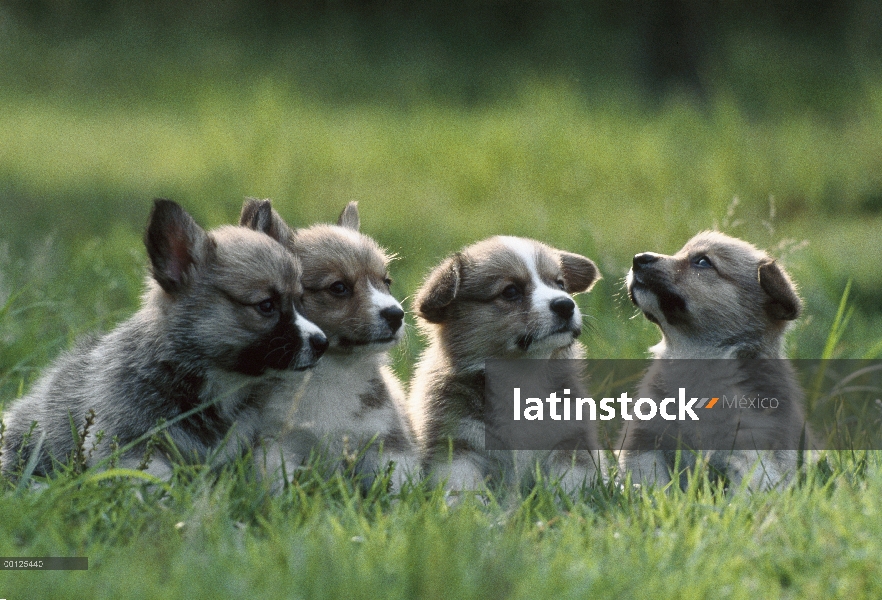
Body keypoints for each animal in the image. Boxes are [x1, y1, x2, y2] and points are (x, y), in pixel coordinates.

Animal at [237, 199, 416, 490]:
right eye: (338, 287)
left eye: (386, 282)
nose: (397, 315)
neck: (331, 372)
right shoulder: (276, 443)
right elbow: (277, 482)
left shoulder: (387, 442)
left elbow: (395, 487)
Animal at [408, 237, 600, 494]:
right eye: (511, 291)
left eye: (560, 284)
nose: (565, 305)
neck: (521, 374)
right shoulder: (455, 445)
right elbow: (464, 487)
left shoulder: (572, 439)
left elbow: (571, 483)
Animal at [620, 232, 812, 490]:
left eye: (702, 262)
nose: (638, 258)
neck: (696, 357)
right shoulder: (644, 442)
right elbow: (652, 484)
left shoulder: (752, 452)